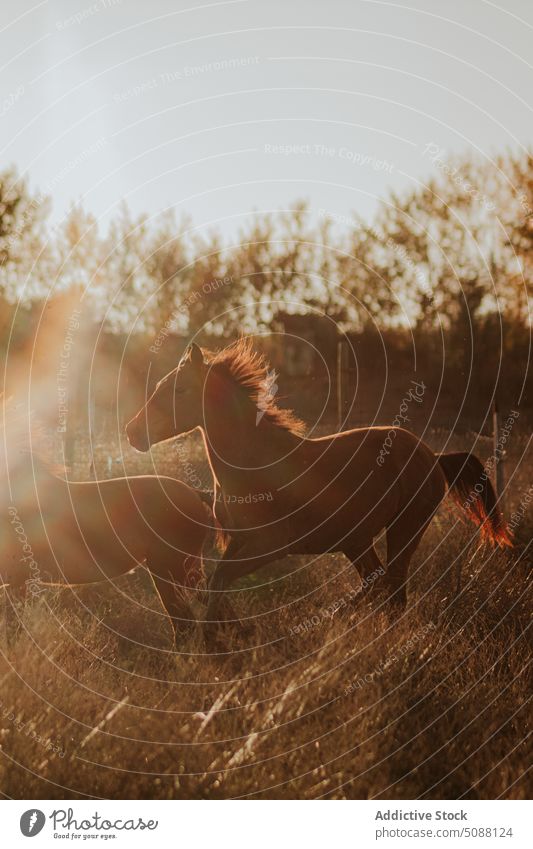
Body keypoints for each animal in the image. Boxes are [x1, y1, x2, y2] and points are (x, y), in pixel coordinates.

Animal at [125, 338, 512, 624]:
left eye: (180, 390)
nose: (132, 432)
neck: (253, 464)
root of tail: (434, 457)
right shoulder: (238, 541)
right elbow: (213, 584)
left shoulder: (271, 544)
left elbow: (219, 582)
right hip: (355, 541)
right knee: (379, 583)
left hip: (404, 529)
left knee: (392, 588)